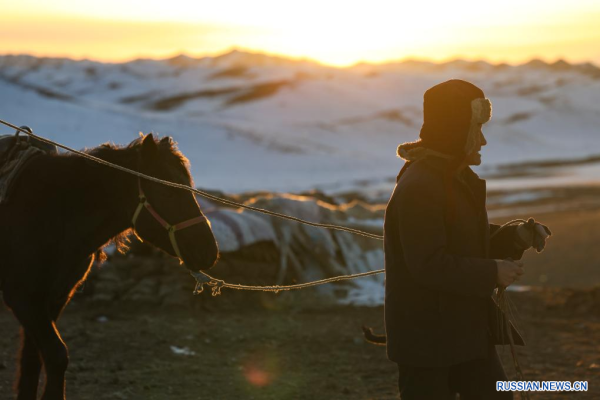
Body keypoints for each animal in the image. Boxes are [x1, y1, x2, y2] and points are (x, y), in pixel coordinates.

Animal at [0, 134, 219, 400]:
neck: (53, 212)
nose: (209, 251)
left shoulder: (54, 299)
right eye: (168, 190)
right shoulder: (23, 299)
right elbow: (56, 356)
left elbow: (32, 362)